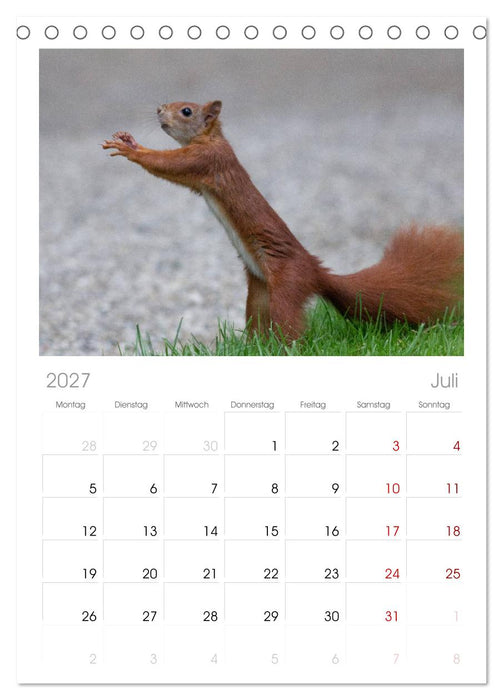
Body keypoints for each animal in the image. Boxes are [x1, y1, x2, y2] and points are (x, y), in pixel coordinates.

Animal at [102, 99, 463, 340]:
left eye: (187, 111)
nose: (159, 109)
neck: (211, 138)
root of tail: (317, 272)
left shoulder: (207, 160)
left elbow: (168, 164)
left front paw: (131, 148)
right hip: (258, 294)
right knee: (259, 323)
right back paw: (253, 347)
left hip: (287, 288)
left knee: (291, 330)